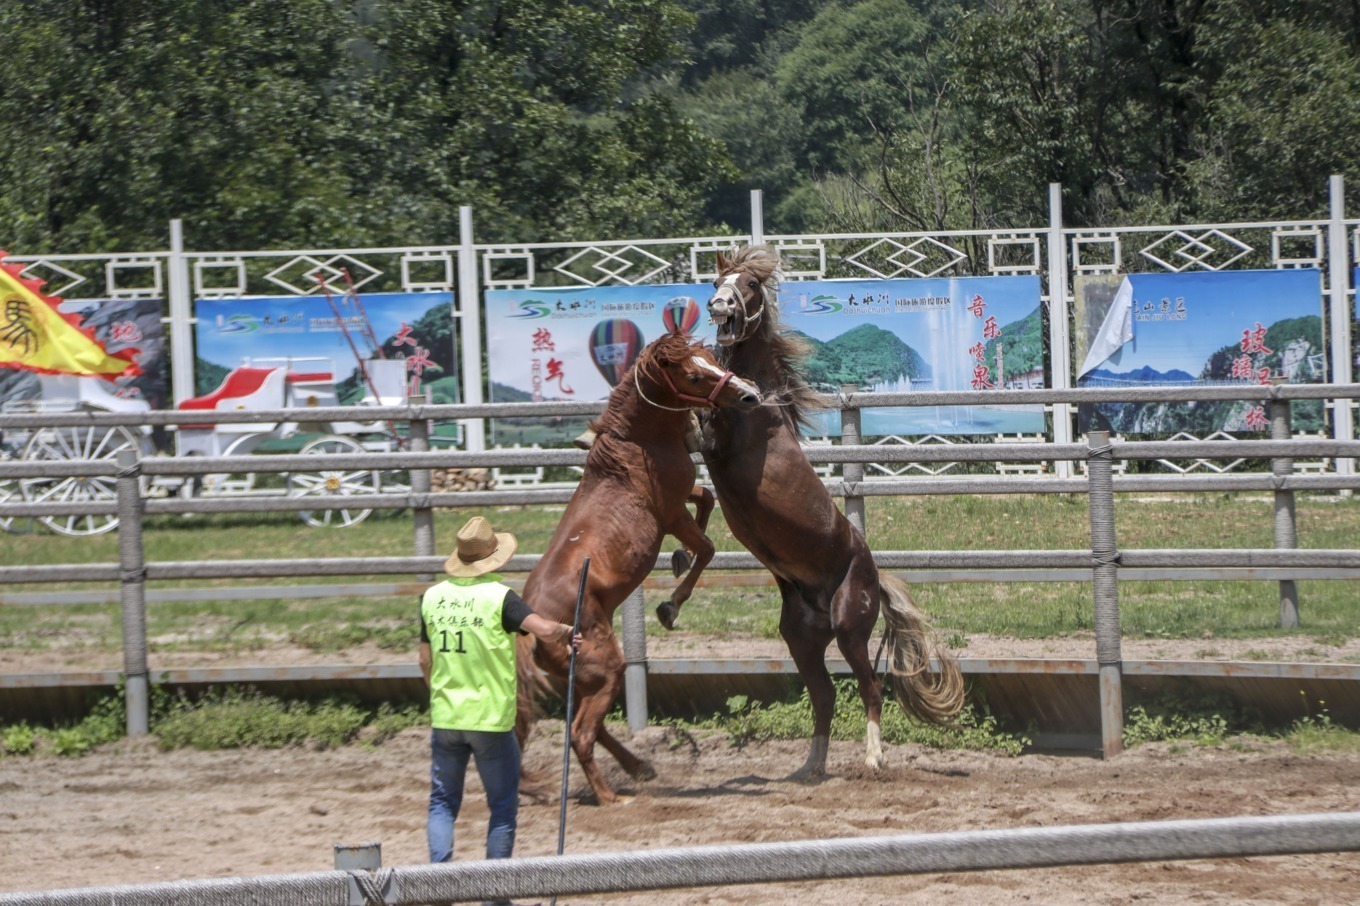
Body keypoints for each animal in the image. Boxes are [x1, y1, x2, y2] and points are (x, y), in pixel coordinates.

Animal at [516, 327, 761, 799]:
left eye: (711, 360)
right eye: (693, 375)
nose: (750, 396)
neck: (636, 446)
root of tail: (529, 625)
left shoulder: (683, 497)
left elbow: (707, 500)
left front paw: (679, 558)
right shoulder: (670, 513)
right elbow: (707, 547)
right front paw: (670, 606)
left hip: (582, 680)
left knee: (586, 728)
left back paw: (638, 768)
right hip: (604, 669)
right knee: (581, 733)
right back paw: (610, 796)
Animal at [685, 244, 962, 778]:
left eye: (749, 285)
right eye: (716, 280)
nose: (718, 306)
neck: (761, 400)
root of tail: (875, 573)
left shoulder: (722, 444)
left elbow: (698, 429)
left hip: (850, 629)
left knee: (870, 688)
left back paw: (873, 758)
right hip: (802, 639)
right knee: (825, 696)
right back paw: (810, 766)